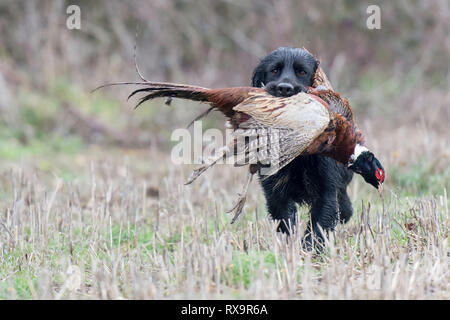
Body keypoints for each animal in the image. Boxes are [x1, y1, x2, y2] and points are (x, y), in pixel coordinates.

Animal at [251, 46, 354, 249]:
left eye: (302, 72)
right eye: (274, 70)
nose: (285, 88)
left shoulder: (326, 192)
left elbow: (317, 230)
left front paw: (308, 253)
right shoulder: (276, 192)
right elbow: (286, 222)